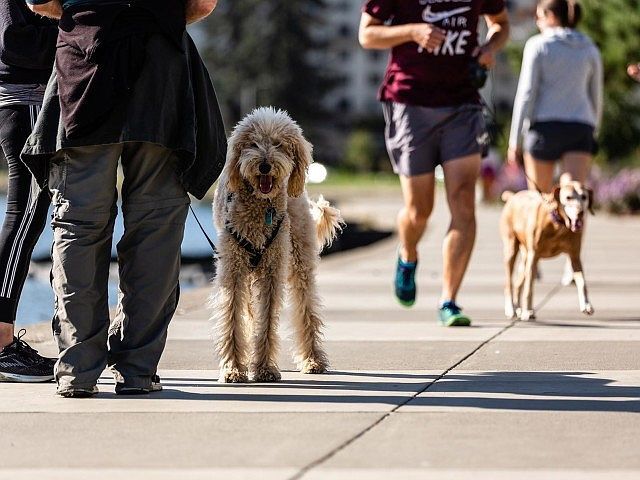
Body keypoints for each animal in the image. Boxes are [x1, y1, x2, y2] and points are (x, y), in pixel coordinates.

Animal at [210, 108, 342, 382]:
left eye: (279, 144)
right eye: (252, 143)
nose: (264, 165)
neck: (260, 207)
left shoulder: (272, 270)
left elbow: (268, 319)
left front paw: (264, 368)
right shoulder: (232, 271)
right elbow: (232, 317)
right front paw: (233, 368)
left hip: (300, 259)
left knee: (306, 308)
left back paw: (313, 360)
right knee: (248, 313)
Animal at [500, 178, 596, 320]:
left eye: (584, 197)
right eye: (568, 197)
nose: (580, 213)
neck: (559, 225)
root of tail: (513, 196)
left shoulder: (575, 256)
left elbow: (582, 281)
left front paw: (586, 305)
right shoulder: (534, 255)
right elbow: (529, 288)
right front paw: (526, 311)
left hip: (525, 256)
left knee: (518, 282)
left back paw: (519, 308)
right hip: (512, 248)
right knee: (510, 282)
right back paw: (511, 308)